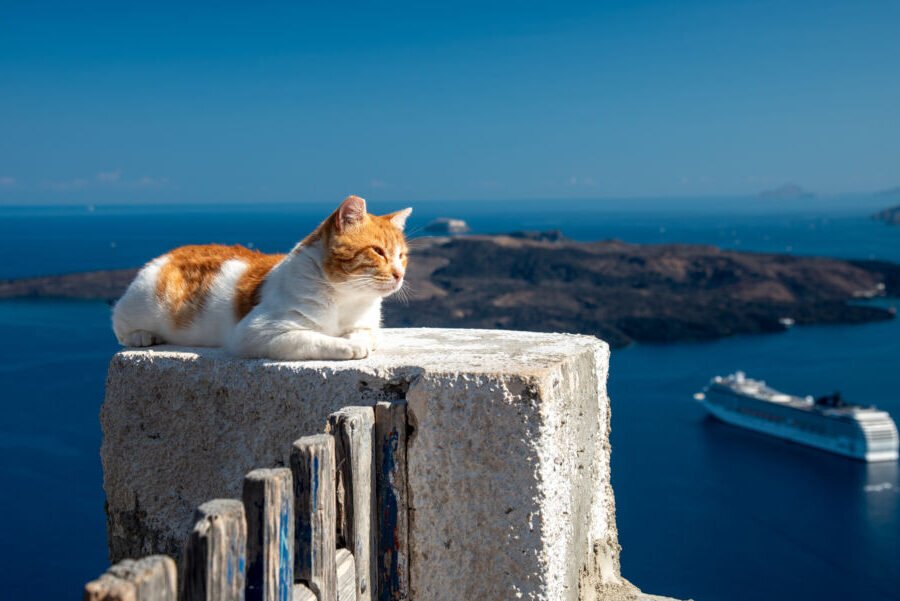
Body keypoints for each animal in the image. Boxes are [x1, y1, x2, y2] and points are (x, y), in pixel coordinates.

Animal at [110, 195, 414, 358]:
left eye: (402, 255)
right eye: (378, 251)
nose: (399, 274)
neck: (347, 299)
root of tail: (172, 252)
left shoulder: (367, 327)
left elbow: (365, 336)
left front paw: (355, 341)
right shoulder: (257, 333)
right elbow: (314, 338)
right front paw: (345, 346)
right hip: (142, 303)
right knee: (119, 321)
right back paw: (141, 336)